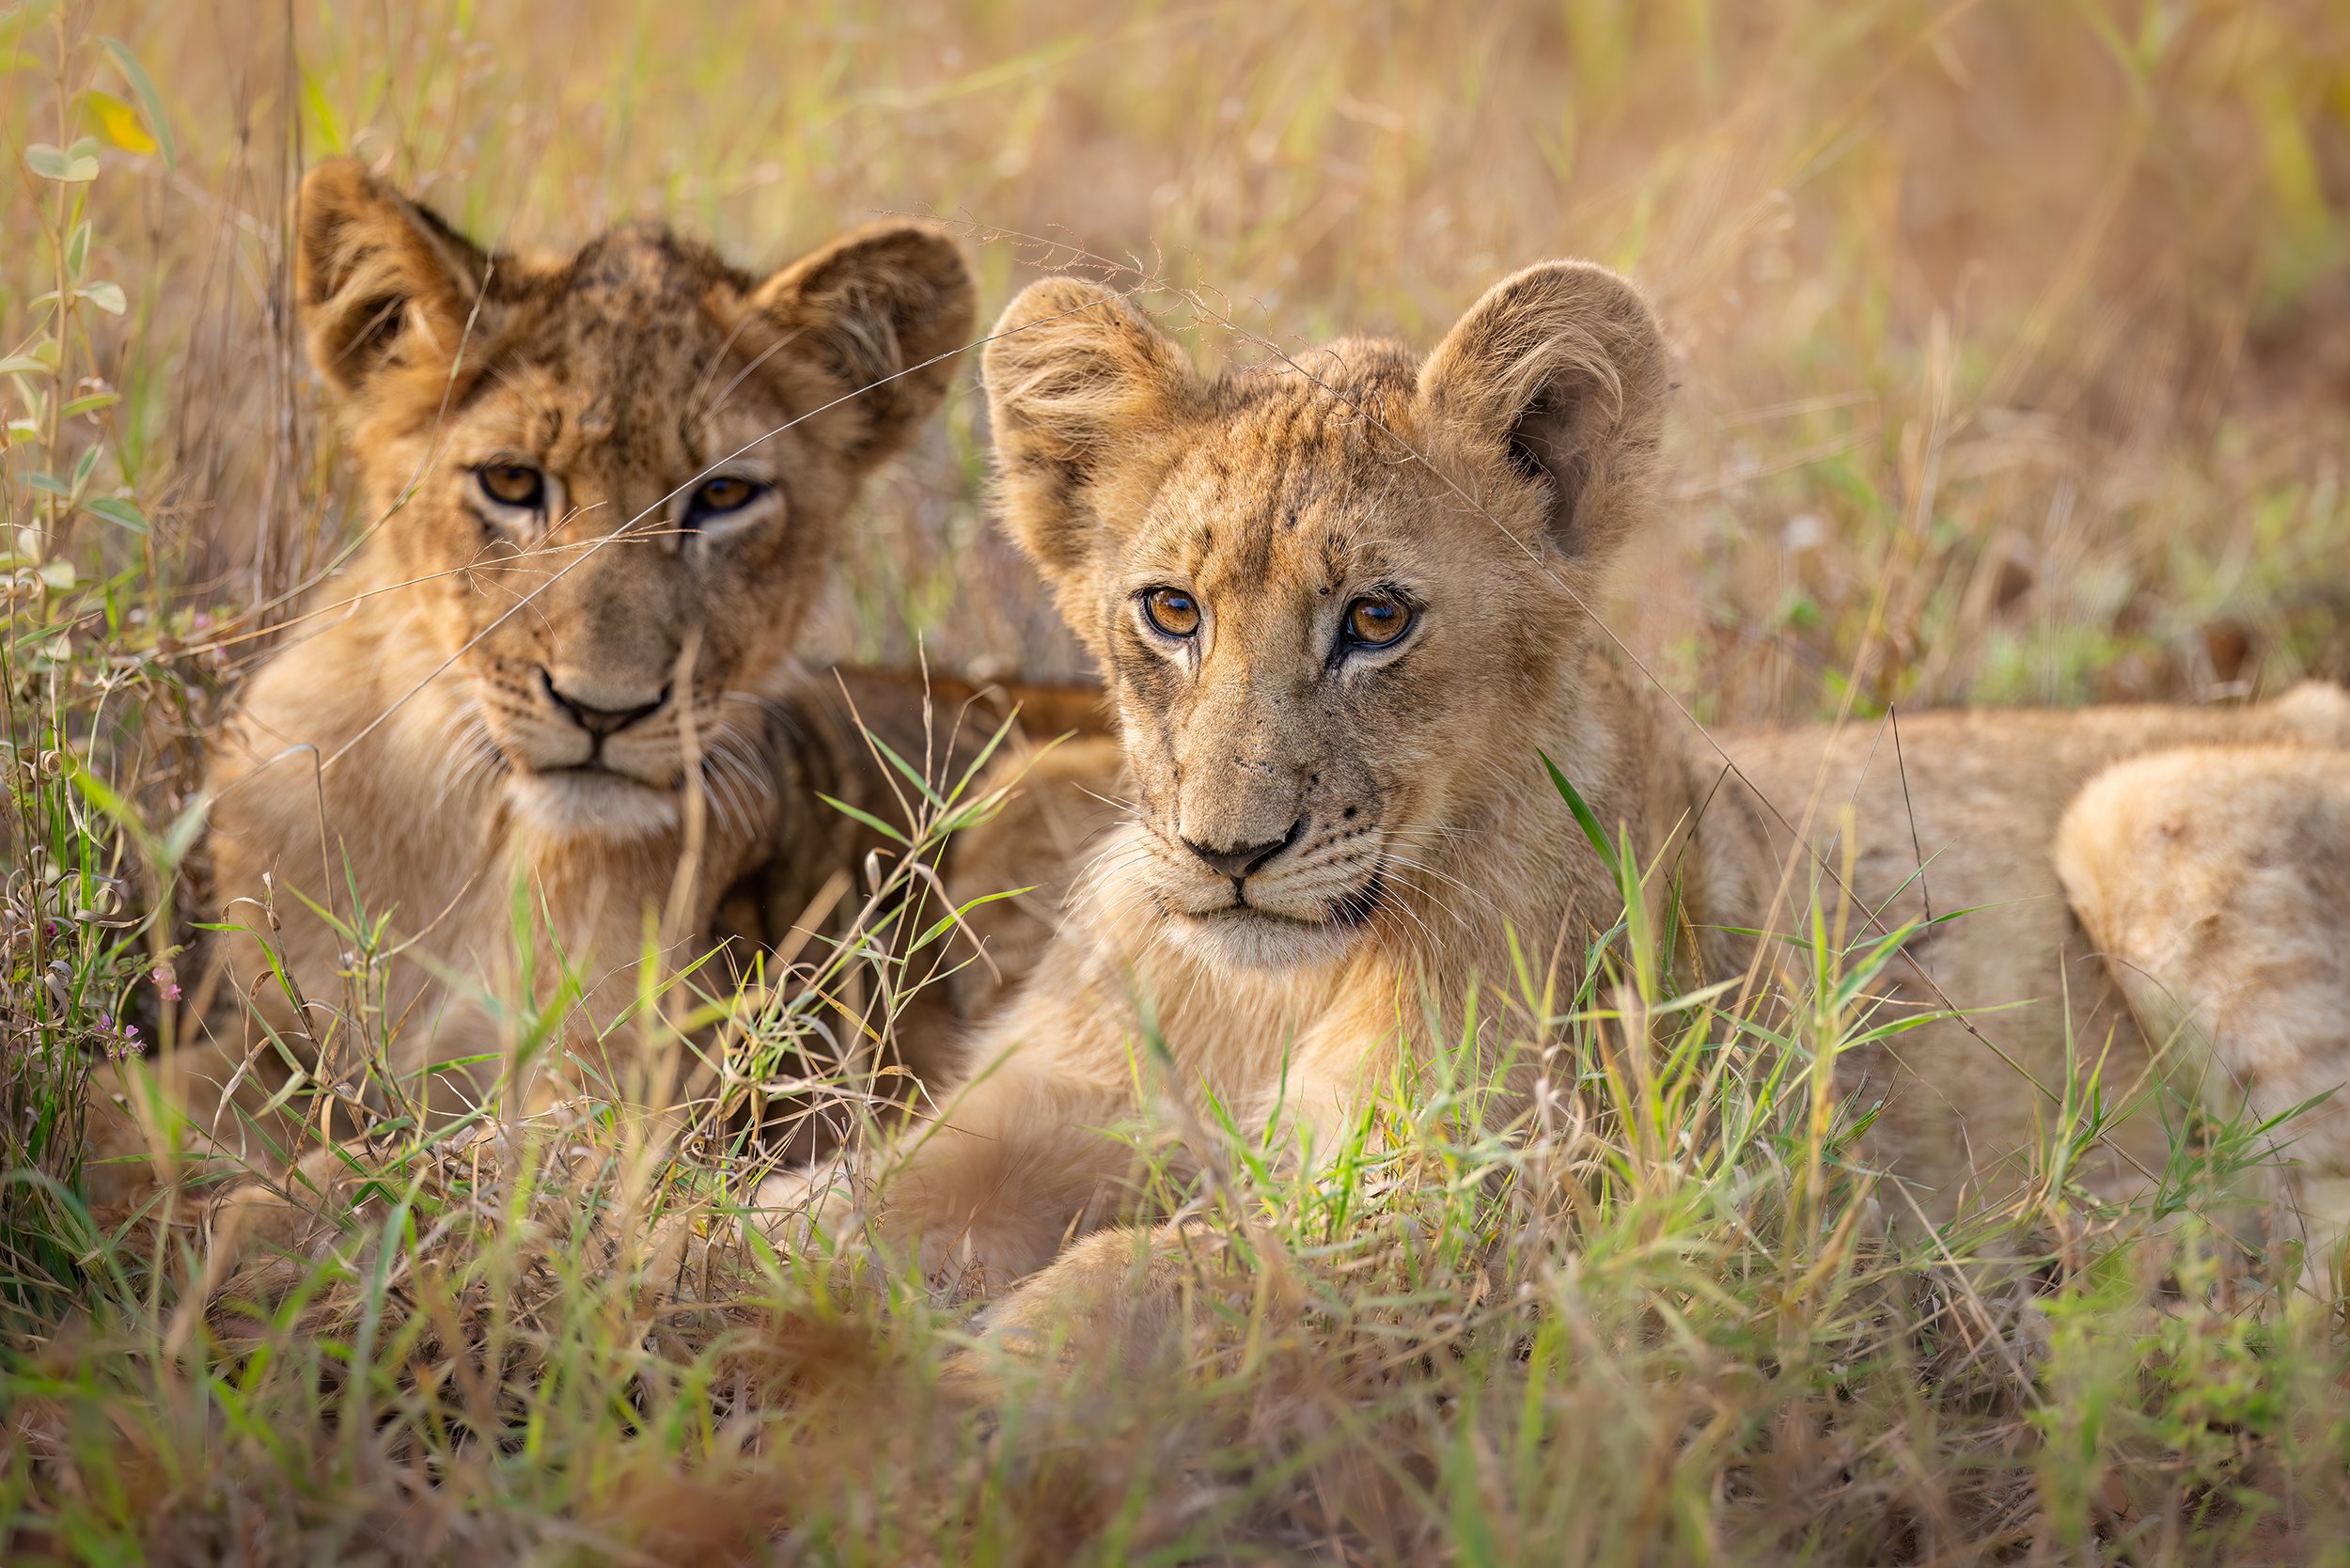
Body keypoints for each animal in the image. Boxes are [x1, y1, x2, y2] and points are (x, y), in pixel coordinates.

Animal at [95, 162, 1108, 1206]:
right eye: (510, 481)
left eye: (724, 496)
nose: (601, 711)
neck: (468, 837)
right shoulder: (274, 1043)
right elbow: (119, 1107)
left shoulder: (617, 1107)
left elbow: (366, 1188)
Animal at [775, 258, 2350, 1338]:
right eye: (1171, 611)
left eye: (1378, 621)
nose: (1232, 853)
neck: (1272, 988)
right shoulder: (1021, 1123)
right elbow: (796, 1210)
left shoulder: (1490, 1205)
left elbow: (1144, 1276)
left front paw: (975, 1392)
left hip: (2140, 808)